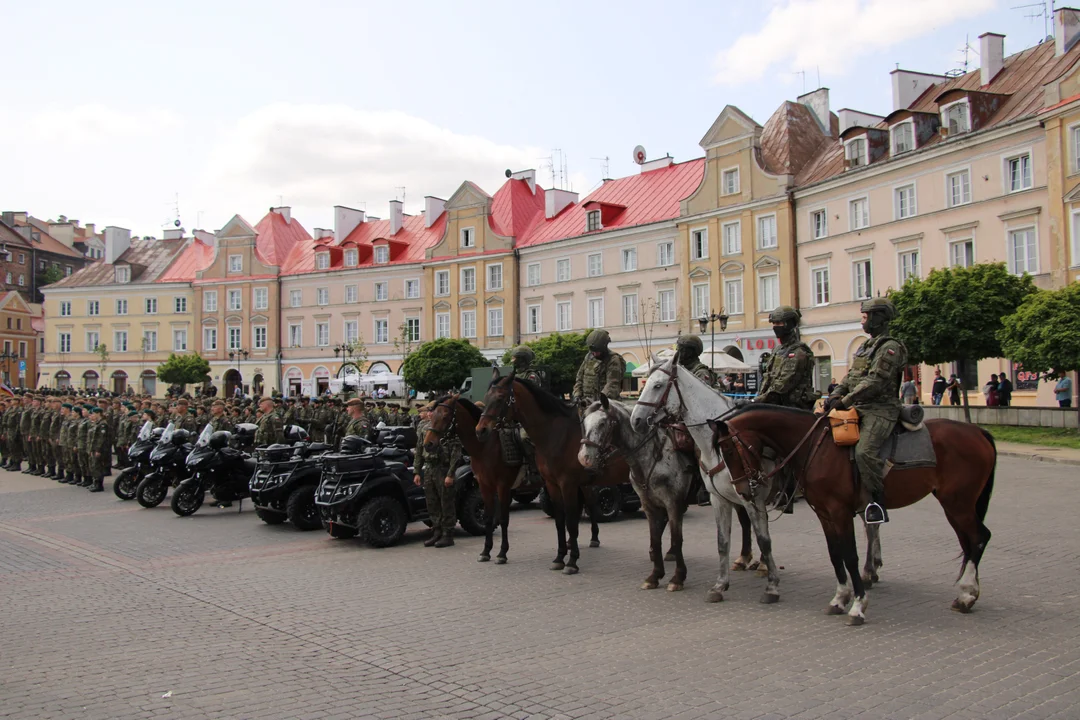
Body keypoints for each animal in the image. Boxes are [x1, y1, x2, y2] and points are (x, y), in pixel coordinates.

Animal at [421, 395, 600, 569]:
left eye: (445, 416)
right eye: (432, 416)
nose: (428, 444)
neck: (485, 447)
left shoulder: (503, 486)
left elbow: (503, 519)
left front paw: (502, 553)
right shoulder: (485, 486)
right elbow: (488, 517)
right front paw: (486, 551)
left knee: (591, 503)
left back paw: (594, 538)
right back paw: (570, 542)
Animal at [475, 369, 630, 578]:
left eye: (500, 398)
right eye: (486, 397)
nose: (480, 430)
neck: (555, 434)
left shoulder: (568, 484)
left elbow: (571, 522)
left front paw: (572, 562)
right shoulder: (552, 484)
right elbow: (559, 520)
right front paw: (560, 557)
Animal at [578, 395, 695, 591]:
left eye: (602, 423)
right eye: (584, 423)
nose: (584, 458)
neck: (654, 456)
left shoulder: (673, 504)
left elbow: (676, 539)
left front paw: (677, 578)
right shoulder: (649, 505)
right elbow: (655, 539)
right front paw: (655, 576)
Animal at [626, 354, 786, 604]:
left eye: (658, 385)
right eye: (644, 383)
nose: (637, 421)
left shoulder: (753, 498)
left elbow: (764, 539)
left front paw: (772, 586)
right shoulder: (719, 498)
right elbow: (722, 541)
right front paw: (720, 586)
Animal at [708, 405, 993, 626]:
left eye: (730, 451)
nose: (743, 490)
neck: (815, 446)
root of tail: (977, 431)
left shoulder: (840, 512)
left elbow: (851, 556)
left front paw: (858, 605)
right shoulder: (825, 514)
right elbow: (836, 555)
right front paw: (839, 598)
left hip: (957, 503)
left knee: (980, 537)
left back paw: (967, 594)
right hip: (955, 506)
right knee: (969, 542)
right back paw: (966, 593)